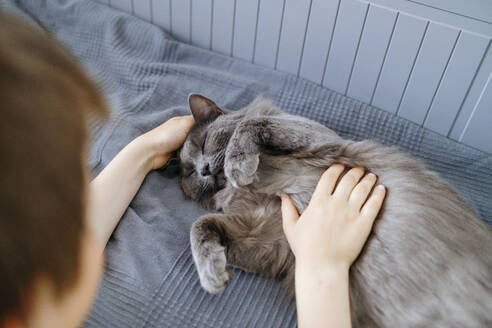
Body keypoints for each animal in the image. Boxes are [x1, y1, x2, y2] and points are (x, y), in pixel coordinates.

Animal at [178, 93, 492, 326]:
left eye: (204, 143)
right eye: (189, 172)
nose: (203, 169)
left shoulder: (319, 138)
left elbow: (253, 122)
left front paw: (238, 166)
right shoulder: (272, 237)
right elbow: (200, 225)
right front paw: (212, 275)